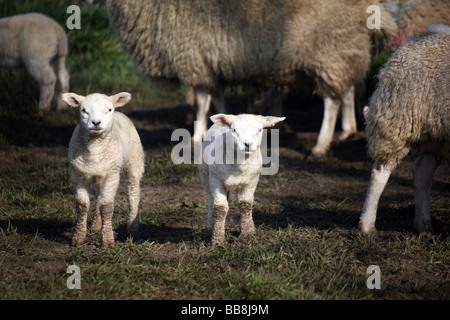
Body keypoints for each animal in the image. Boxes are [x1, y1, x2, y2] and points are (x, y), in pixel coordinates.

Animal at [61, 91, 144, 246]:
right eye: (84, 110)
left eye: (109, 109)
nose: (96, 123)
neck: (95, 147)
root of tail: (119, 113)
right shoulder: (78, 174)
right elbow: (82, 206)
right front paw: (78, 238)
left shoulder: (112, 175)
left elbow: (106, 207)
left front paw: (107, 240)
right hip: (98, 174)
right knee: (99, 197)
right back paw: (96, 226)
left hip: (134, 162)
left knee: (133, 192)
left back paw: (133, 226)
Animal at [106, 0, 398, 158]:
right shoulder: (213, 64)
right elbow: (217, 102)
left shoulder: (195, 60)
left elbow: (200, 103)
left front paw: (196, 136)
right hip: (345, 50)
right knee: (347, 89)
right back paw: (346, 131)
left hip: (329, 49)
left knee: (331, 101)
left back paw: (320, 145)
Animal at [200, 114, 284, 244]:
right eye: (234, 130)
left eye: (259, 130)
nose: (247, 144)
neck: (240, 167)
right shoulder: (216, 180)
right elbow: (220, 209)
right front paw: (217, 239)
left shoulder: (251, 182)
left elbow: (245, 205)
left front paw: (248, 233)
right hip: (205, 173)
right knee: (210, 201)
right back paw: (209, 228)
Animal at [358, 25, 450, 236]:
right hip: (398, 122)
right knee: (380, 172)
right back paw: (367, 228)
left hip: (436, 136)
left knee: (422, 175)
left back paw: (424, 227)